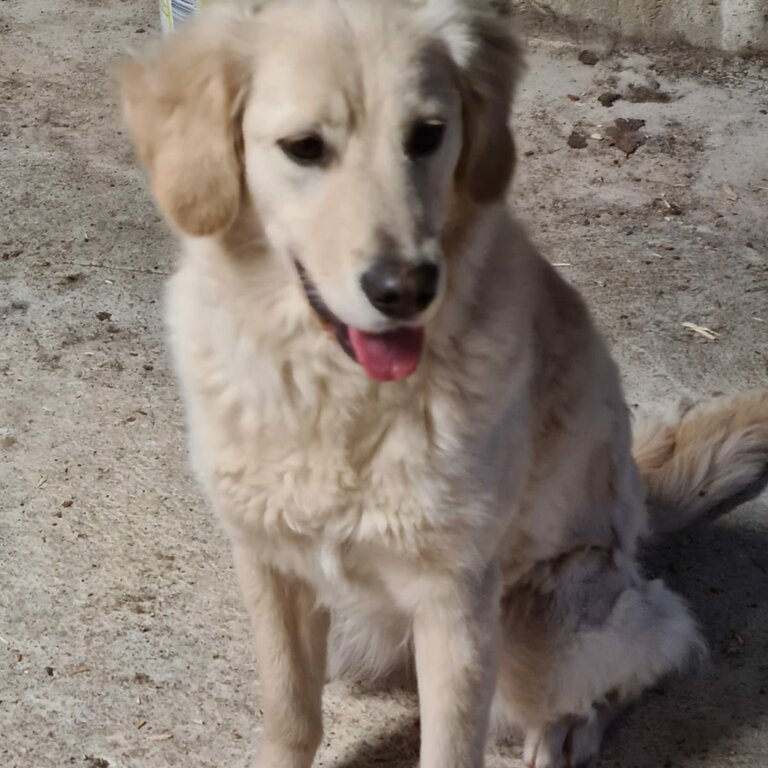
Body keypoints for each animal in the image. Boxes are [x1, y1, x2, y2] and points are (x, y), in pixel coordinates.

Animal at [120, 3, 768, 764]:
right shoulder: (268, 562)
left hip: (538, 628)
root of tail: (640, 508)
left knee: (656, 640)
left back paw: (568, 731)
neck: (339, 400)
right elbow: (288, 711)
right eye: (304, 148)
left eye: (427, 135)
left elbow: (449, 742)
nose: (407, 289)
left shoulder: (454, 598)